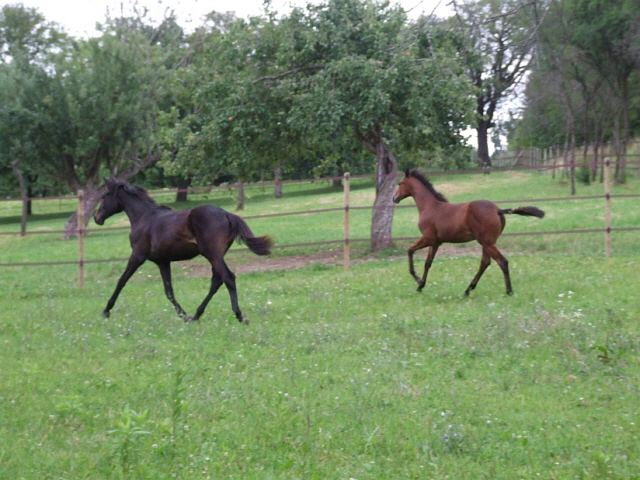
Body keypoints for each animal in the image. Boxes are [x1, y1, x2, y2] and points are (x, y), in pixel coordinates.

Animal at [94, 178, 272, 324]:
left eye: (103, 196)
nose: (97, 218)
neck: (144, 217)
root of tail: (227, 214)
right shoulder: (163, 261)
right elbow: (169, 291)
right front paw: (183, 315)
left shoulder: (138, 256)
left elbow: (121, 281)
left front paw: (105, 311)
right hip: (216, 256)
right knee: (217, 281)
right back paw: (195, 316)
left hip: (212, 254)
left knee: (228, 277)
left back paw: (239, 316)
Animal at [390, 169, 544, 296]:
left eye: (400, 183)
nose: (394, 198)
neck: (430, 206)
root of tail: (497, 210)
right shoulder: (436, 242)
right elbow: (428, 263)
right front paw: (421, 285)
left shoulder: (428, 238)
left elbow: (410, 250)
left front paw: (417, 280)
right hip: (487, 242)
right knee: (485, 262)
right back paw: (468, 289)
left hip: (487, 242)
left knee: (502, 262)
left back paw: (508, 291)